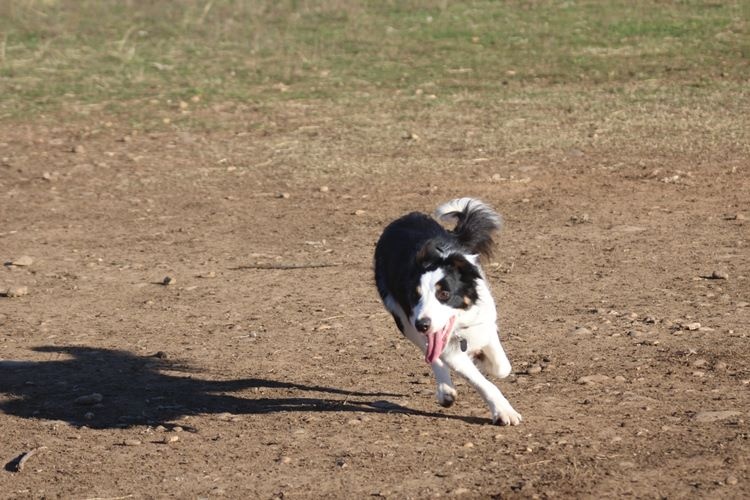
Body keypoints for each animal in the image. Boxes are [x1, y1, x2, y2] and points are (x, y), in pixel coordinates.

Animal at [374, 197, 524, 424]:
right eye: (415, 295)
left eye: (444, 294)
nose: (423, 324)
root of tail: (402, 219)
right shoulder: (441, 343)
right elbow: (481, 381)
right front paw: (503, 411)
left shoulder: (485, 323)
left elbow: (502, 367)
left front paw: (483, 359)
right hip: (404, 320)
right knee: (430, 352)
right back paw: (445, 391)